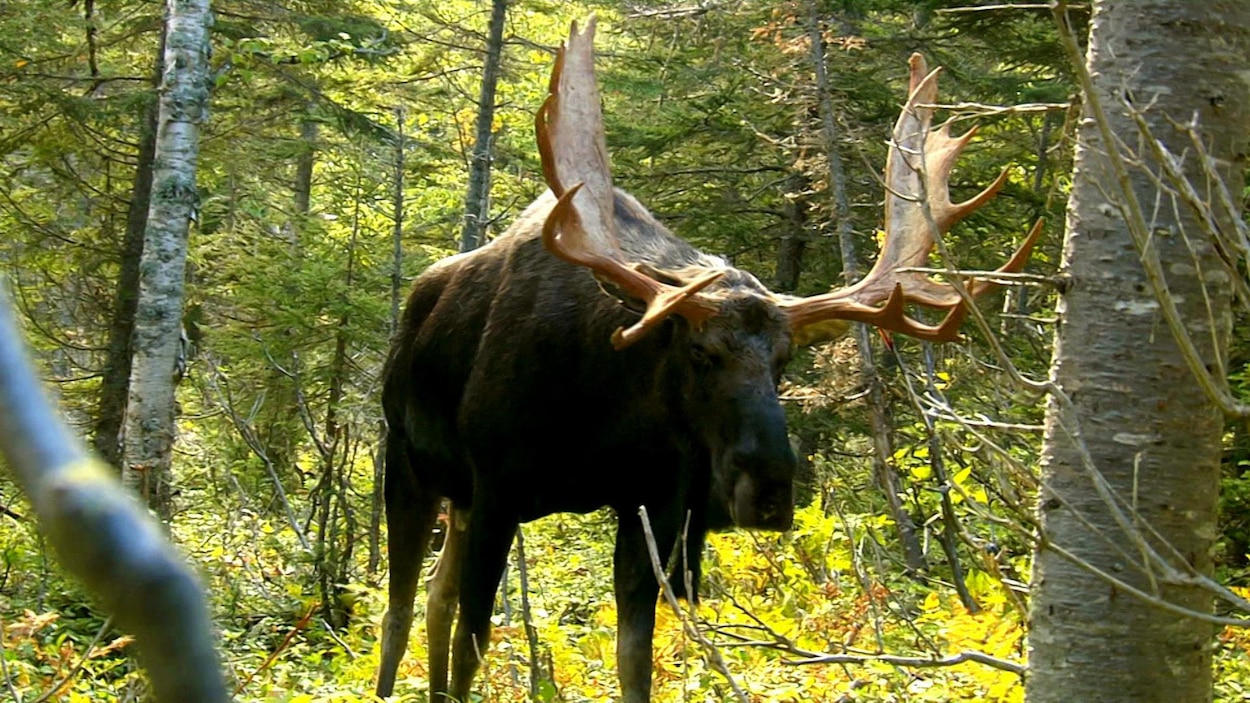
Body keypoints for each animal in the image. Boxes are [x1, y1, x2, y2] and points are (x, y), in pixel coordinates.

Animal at [375, 16, 1040, 700]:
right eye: (699, 351)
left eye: (784, 361)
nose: (771, 485)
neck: (597, 411)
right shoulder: (498, 487)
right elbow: (472, 646)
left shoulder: (654, 503)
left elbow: (635, 661)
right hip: (406, 461)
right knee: (401, 607)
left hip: (458, 497)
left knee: (435, 595)